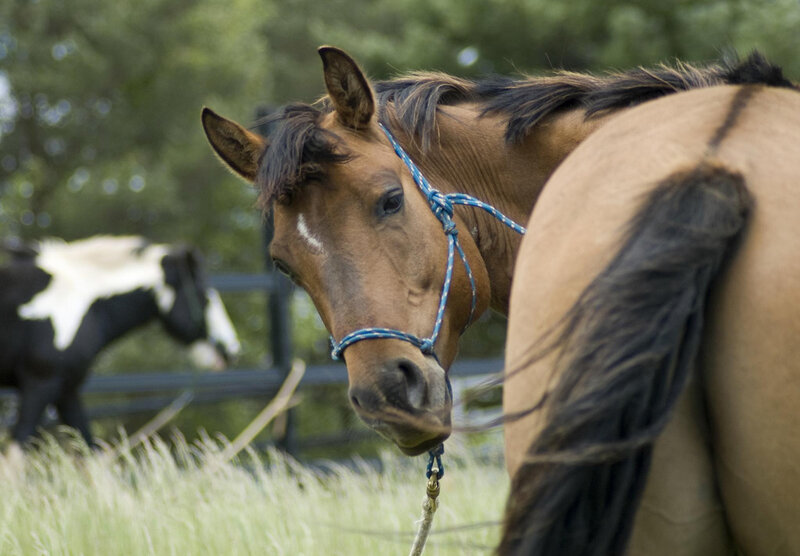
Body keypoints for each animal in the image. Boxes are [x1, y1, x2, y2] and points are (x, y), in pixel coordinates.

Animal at [0, 235, 241, 447]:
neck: (80, 301)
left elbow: (89, 449)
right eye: (204, 296)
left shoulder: (67, 389)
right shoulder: (40, 383)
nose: (231, 349)